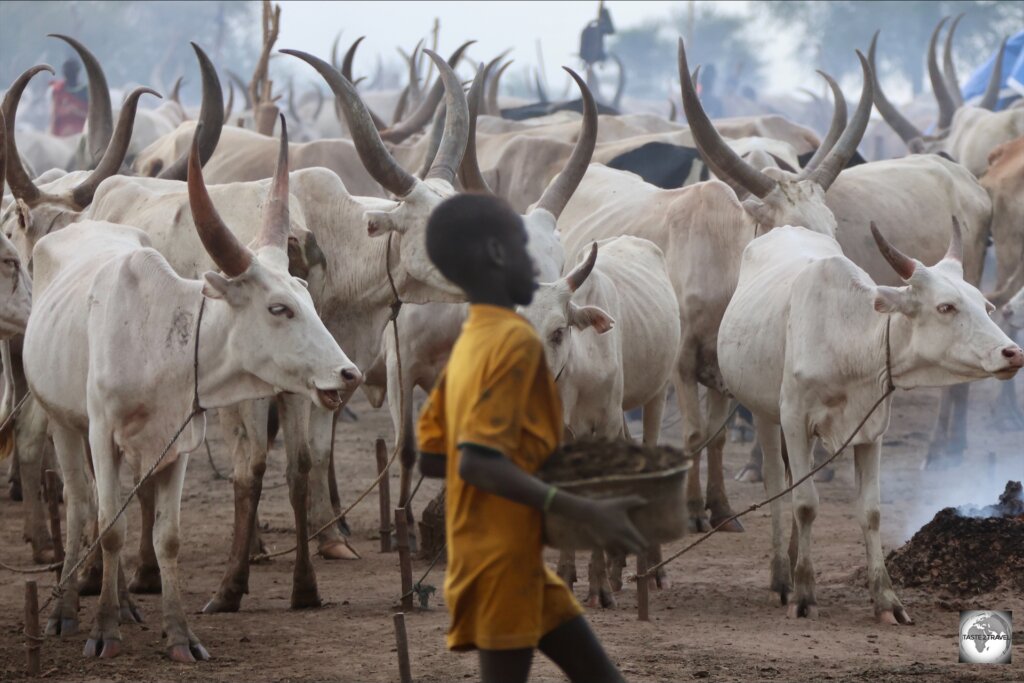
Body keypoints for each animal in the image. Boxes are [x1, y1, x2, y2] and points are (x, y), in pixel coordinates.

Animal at [24, 133, 360, 663]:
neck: (161, 338)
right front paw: (102, 631)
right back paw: (65, 610)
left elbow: (168, 538)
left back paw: (124, 605)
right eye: (279, 309)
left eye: (309, 299)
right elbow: (111, 526)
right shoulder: (101, 434)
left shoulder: (176, 445)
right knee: (79, 504)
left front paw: (180, 636)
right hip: (63, 420)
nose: (348, 375)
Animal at [720, 223, 1024, 626]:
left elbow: (871, 511)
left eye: (986, 307)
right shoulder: (795, 421)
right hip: (764, 413)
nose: (1013, 353)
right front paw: (804, 594)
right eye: (946, 307)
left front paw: (886, 601)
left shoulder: (871, 429)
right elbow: (805, 504)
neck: (847, 341)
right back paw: (782, 579)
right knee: (777, 484)